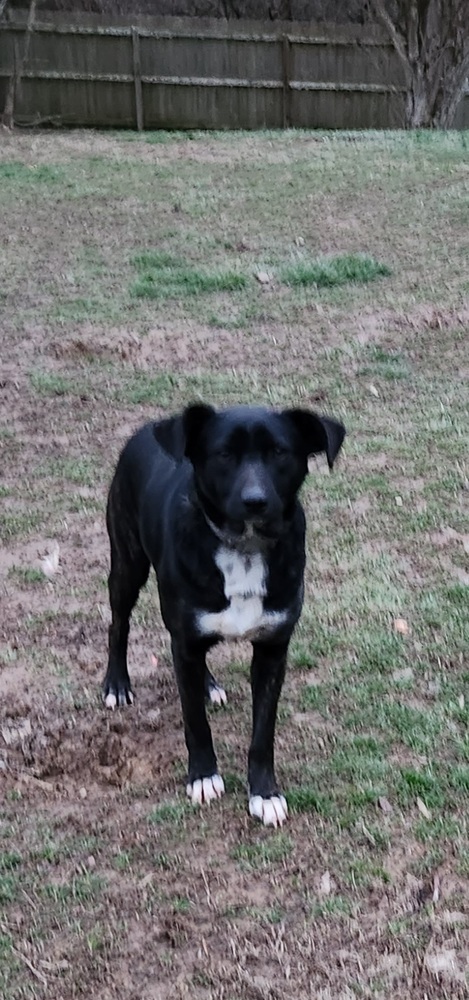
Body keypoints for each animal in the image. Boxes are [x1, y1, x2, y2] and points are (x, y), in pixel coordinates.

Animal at [102, 402, 344, 824]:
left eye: (279, 452)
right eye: (224, 454)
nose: (255, 501)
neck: (243, 548)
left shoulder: (272, 649)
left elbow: (263, 732)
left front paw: (264, 793)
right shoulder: (184, 641)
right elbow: (195, 723)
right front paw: (203, 776)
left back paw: (208, 684)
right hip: (127, 564)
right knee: (119, 623)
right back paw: (117, 683)